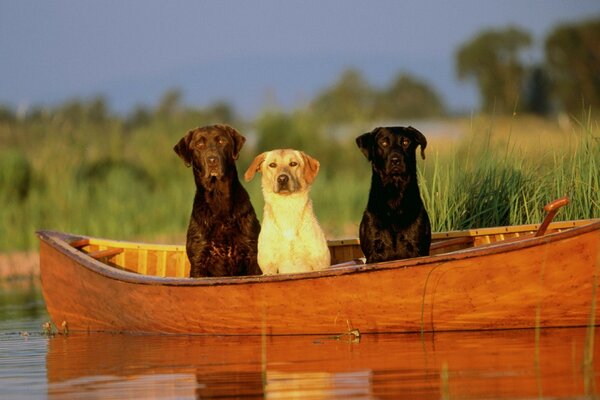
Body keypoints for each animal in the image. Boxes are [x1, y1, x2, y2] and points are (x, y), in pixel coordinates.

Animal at [171, 123, 260, 276]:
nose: (212, 160)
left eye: (221, 141)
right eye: (199, 144)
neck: (218, 197)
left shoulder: (252, 256)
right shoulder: (199, 260)